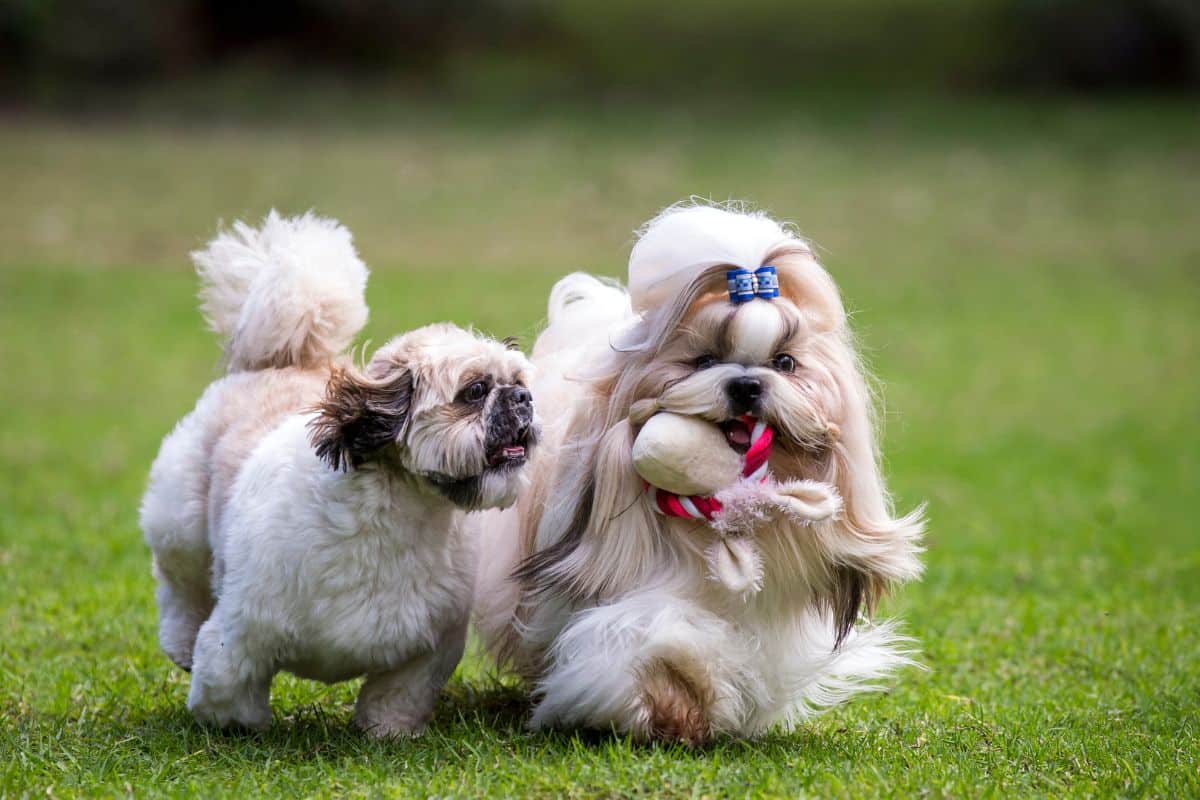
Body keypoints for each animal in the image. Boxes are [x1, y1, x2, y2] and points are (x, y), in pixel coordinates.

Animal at [138, 214, 537, 738]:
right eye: (474, 391)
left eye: (520, 383)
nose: (523, 399)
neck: (396, 516)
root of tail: (281, 361)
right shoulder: (240, 635)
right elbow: (227, 689)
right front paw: (239, 728)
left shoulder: (426, 648)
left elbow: (396, 696)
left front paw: (386, 732)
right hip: (180, 523)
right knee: (179, 587)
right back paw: (182, 643)